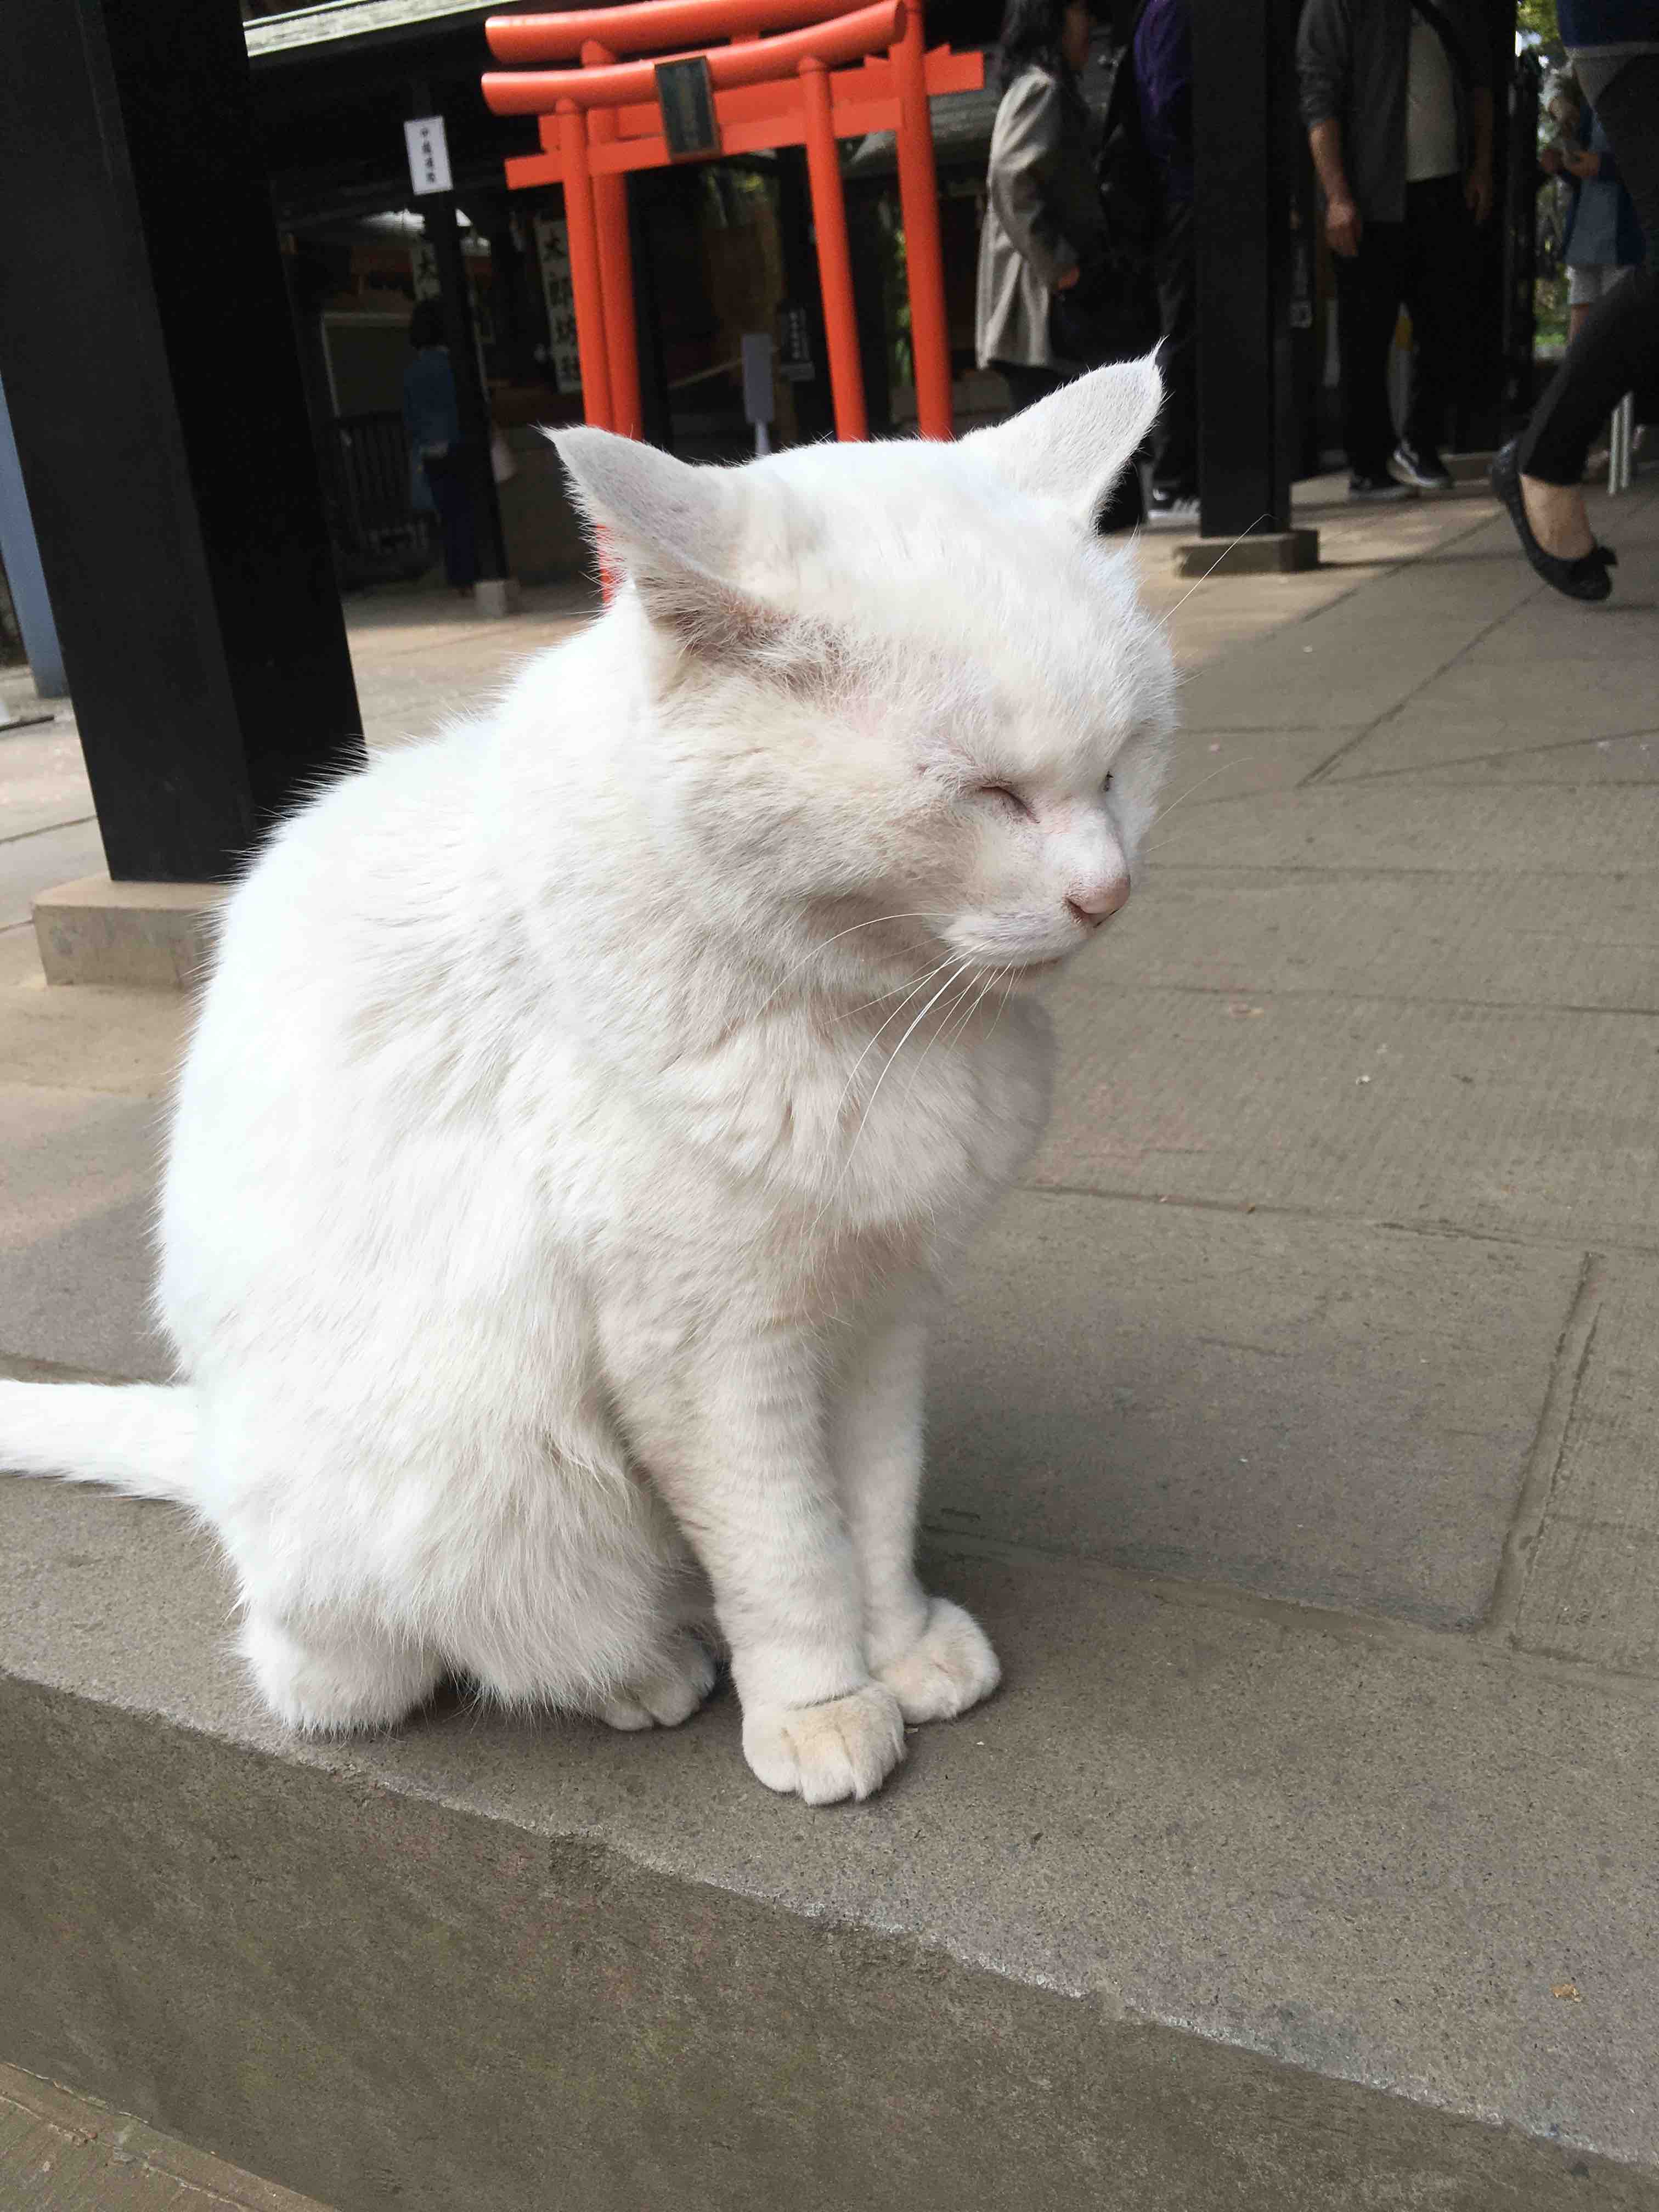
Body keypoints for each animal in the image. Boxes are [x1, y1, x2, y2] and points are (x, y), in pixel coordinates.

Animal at [0, 354, 1177, 1805]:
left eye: (1121, 765)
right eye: (989, 795)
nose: (1108, 894)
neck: (880, 1020)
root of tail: (218, 1442)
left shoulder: (878, 1312)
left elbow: (876, 1504)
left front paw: (897, 1647)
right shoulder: (707, 1353)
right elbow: (787, 1547)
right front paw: (820, 1702)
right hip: (460, 1495)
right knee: (353, 1667)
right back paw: (642, 1672)